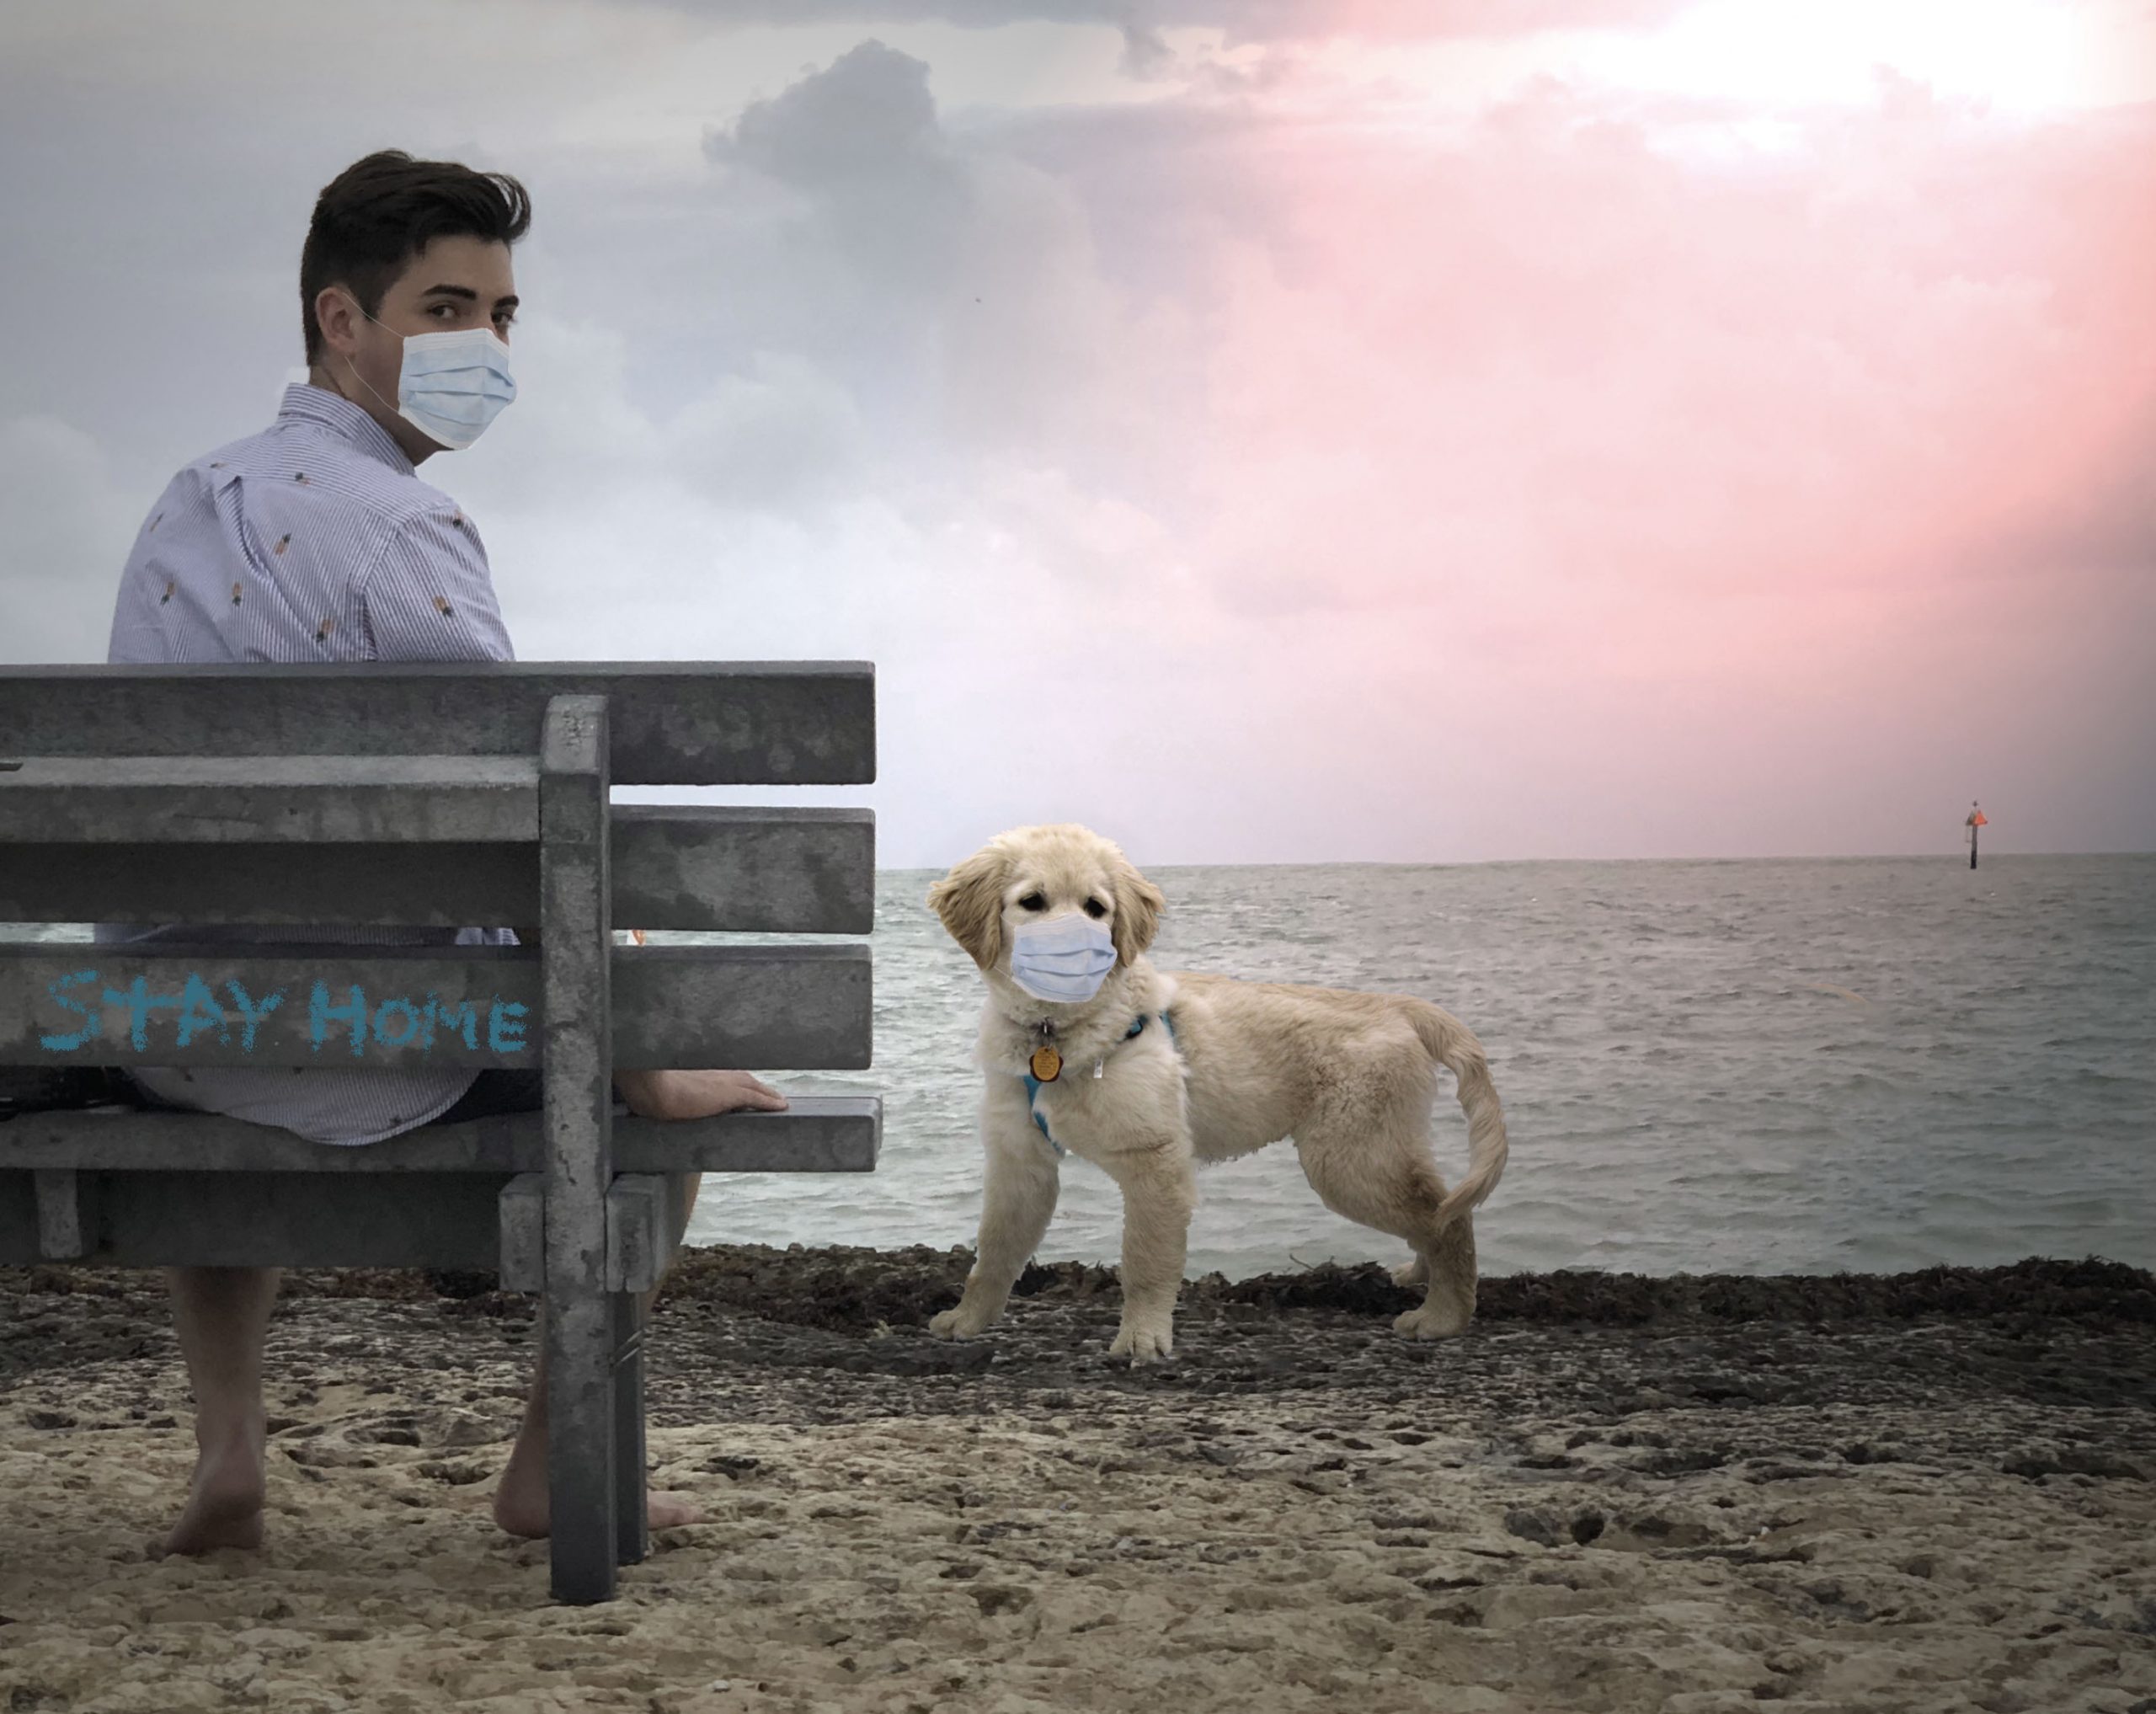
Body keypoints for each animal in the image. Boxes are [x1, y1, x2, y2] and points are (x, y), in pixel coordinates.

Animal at [918, 823, 1509, 1362]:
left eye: (1096, 908)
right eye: (1032, 903)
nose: (1080, 951)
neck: (1055, 1034)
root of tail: (1398, 1006)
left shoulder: (1154, 1158)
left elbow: (1145, 1261)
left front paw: (1142, 1338)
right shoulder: (1020, 1160)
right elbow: (994, 1250)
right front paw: (967, 1320)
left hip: (1349, 1159)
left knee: (1446, 1217)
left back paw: (1444, 1316)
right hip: (1374, 1147)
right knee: (1439, 1205)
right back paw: (1423, 1276)